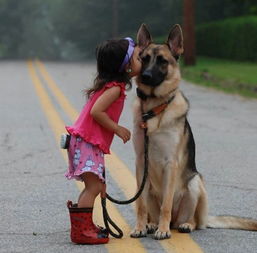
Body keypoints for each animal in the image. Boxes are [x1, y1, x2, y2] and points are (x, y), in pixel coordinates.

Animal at [130, 24, 256, 240]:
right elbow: (140, 204)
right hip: (152, 188)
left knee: (193, 221)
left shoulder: (170, 163)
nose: (145, 76)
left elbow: (166, 204)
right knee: (152, 210)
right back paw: (151, 224)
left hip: (195, 183)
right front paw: (140, 227)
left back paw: (182, 225)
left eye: (162, 61)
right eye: (144, 58)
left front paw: (163, 230)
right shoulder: (140, 162)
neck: (154, 108)